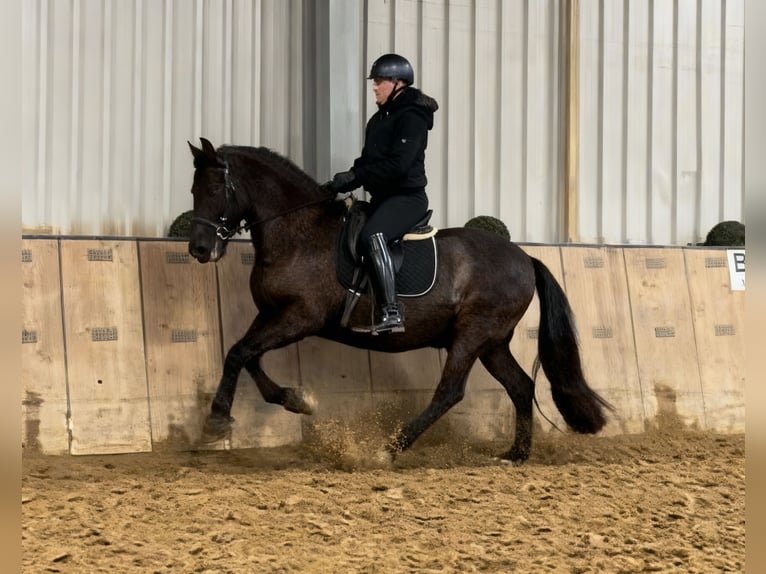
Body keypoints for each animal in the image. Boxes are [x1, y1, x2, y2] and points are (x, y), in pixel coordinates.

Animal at [187, 137, 611, 463]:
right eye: (193, 191)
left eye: (214, 190)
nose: (199, 249)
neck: (298, 233)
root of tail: (524, 258)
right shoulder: (272, 314)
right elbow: (245, 355)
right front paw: (296, 400)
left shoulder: (300, 317)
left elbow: (238, 354)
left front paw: (215, 423)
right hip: (492, 344)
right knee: (521, 387)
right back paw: (516, 454)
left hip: (472, 335)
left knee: (450, 392)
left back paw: (389, 448)